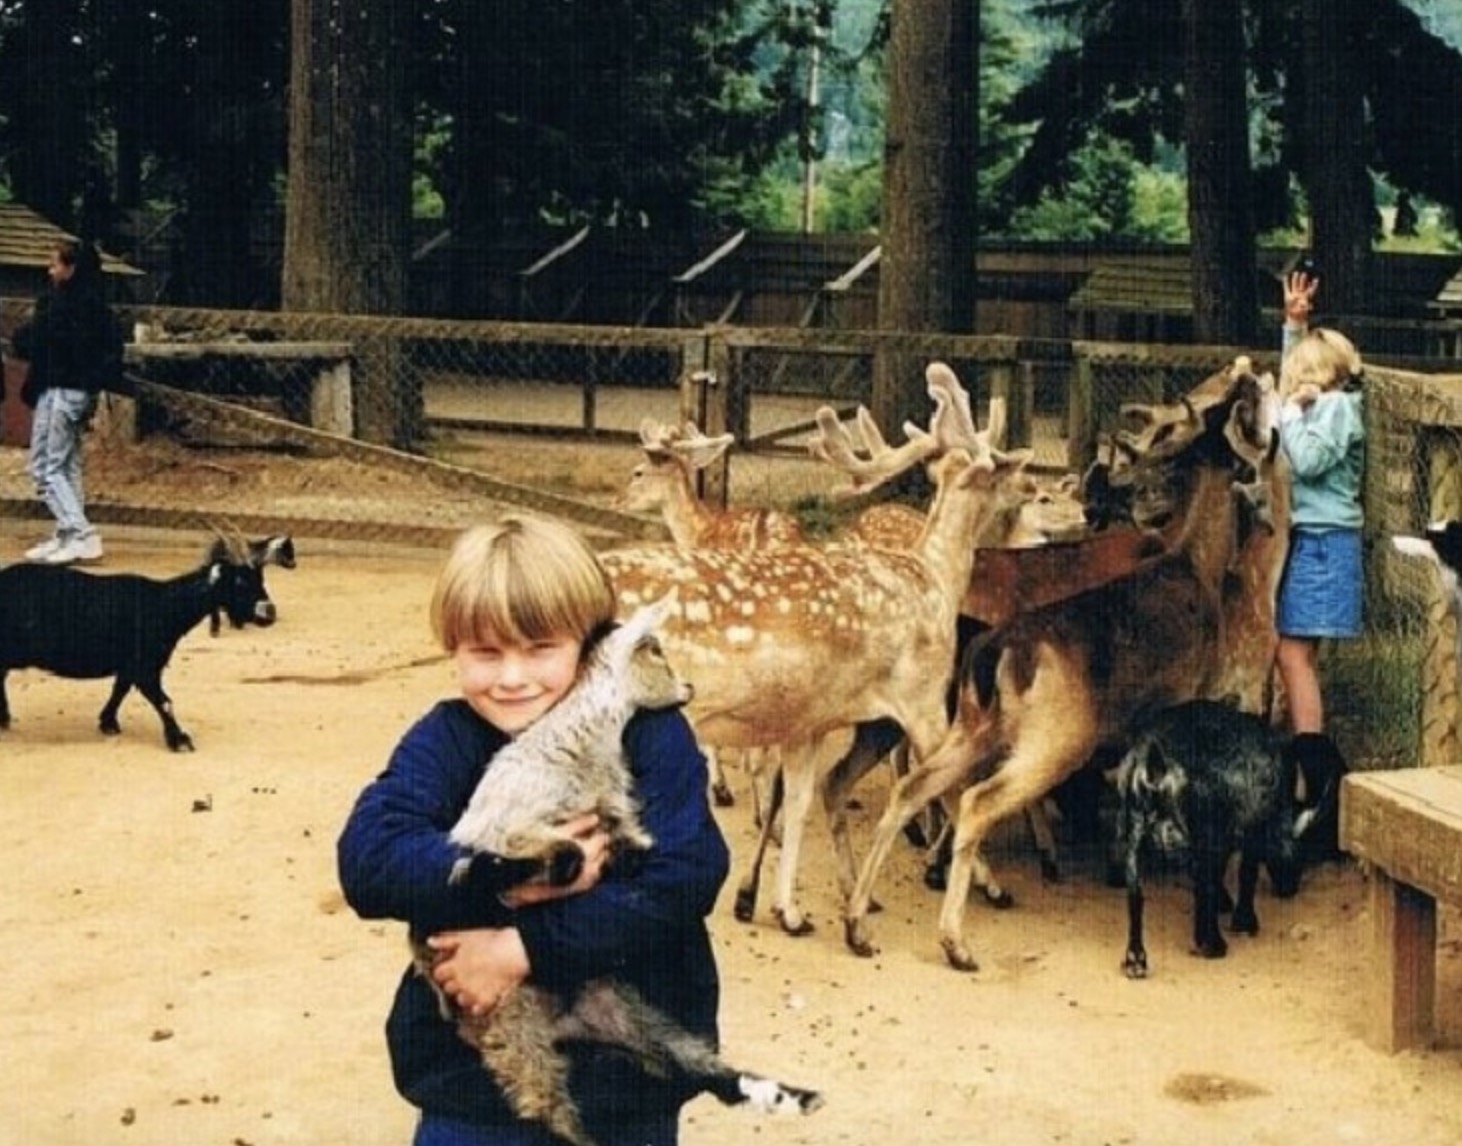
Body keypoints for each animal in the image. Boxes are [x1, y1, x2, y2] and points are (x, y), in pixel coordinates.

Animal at [0, 537, 292, 754]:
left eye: (261, 580)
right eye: (240, 583)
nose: (270, 613)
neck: (163, 605)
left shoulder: (132, 664)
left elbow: (120, 689)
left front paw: (108, 722)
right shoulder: (145, 665)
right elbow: (164, 701)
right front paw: (179, 740)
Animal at [842, 355, 1286, 964]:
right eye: (1235, 418)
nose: (1249, 372)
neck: (1200, 569)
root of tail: (993, 655)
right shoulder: (1196, 696)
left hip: (974, 725)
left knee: (911, 787)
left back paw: (858, 921)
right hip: (1055, 737)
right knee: (976, 800)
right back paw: (957, 938)